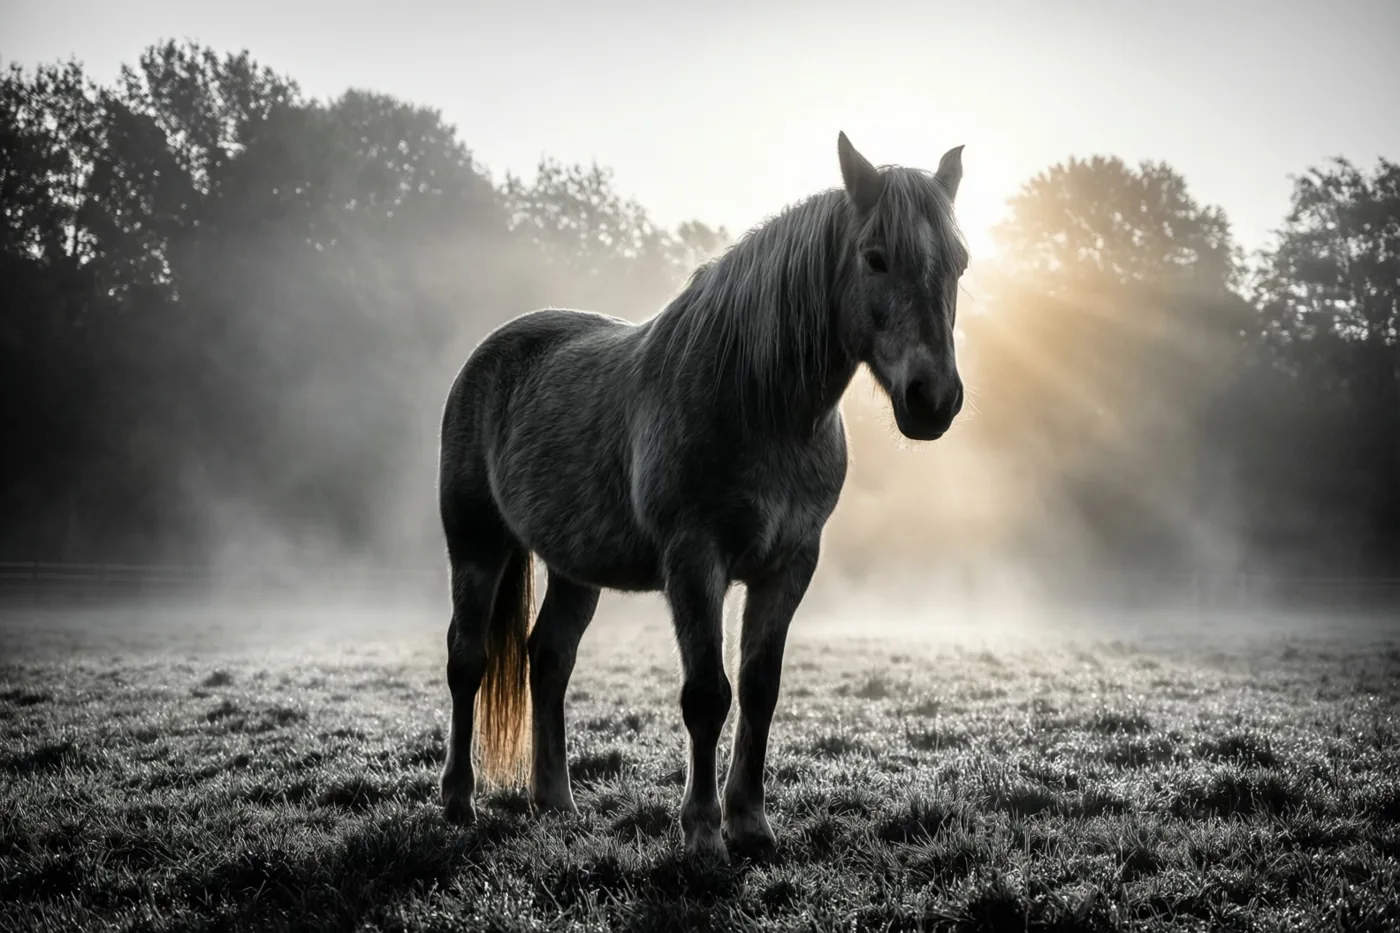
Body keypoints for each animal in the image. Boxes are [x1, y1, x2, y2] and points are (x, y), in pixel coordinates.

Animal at [436, 132, 968, 861]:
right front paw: (704, 831)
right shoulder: (695, 561)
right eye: (876, 257)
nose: (933, 399)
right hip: (477, 544)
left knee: (547, 659)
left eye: (960, 264)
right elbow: (707, 695)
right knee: (469, 659)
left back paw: (557, 801)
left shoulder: (789, 564)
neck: (760, 404)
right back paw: (458, 801)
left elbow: (759, 689)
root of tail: (486, 354)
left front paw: (751, 824)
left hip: (575, 568)